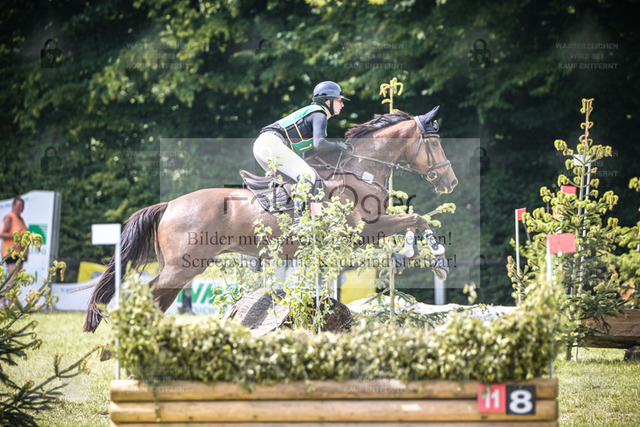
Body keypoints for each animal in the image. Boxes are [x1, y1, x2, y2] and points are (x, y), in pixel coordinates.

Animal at [83, 106, 457, 332]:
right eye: (434, 143)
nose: (450, 181)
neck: (361, 168)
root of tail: (170, 204)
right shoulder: (363, 229)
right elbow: (415, 218)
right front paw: (434, 257)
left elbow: (414, 221)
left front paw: (412, 256)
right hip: (183, 267)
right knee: (146, 294)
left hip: (180, 268)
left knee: (155, 300)